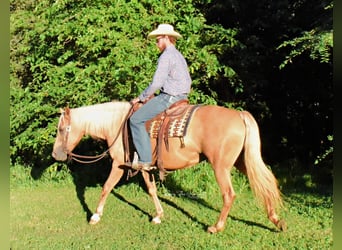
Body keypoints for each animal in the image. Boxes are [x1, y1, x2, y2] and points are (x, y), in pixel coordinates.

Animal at [51, 100, 286, 233]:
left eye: (62, 129)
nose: (55, 154)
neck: (117, 124)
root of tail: (239, 115)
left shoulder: (118, 164)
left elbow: (106, 187)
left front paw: (95, 216)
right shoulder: (144, 166)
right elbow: (152, 189)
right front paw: (158, 215)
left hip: (221, 167)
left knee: (229, 194)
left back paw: (216, 227)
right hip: (241, 162)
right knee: (263, 184)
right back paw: (277, 221)